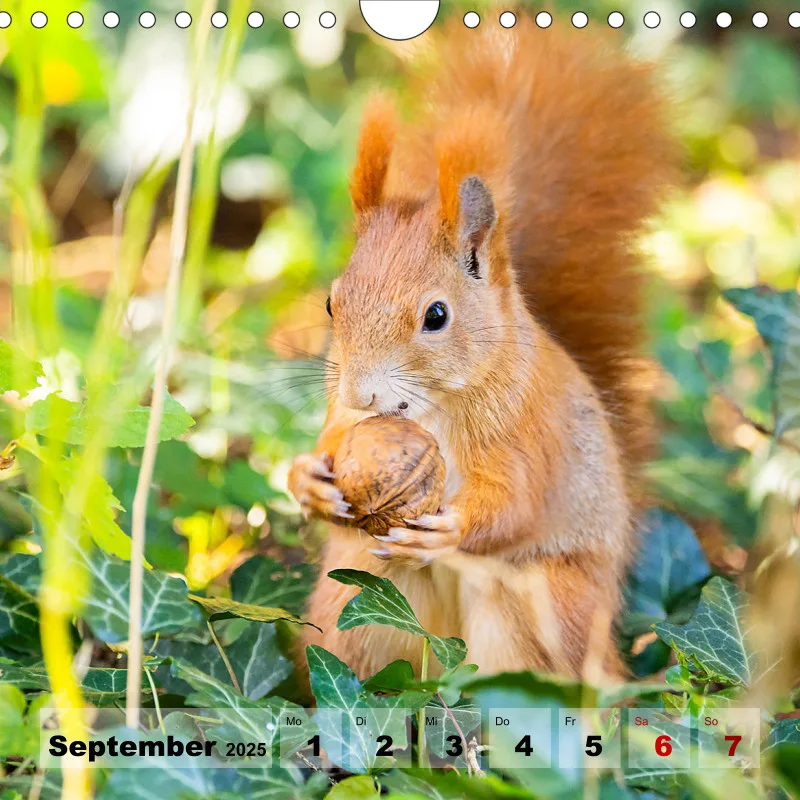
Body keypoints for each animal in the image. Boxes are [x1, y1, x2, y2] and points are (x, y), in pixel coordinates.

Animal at [288, 13, 675, 683]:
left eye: (436, 316)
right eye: (333, 303)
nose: (362, 394)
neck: (432, 409)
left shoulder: (528, 432)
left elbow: (516, 504)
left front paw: (448, 531)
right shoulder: (342, 413)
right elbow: (332, 439)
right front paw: (307, 477)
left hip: (536, 609)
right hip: (354, 602)